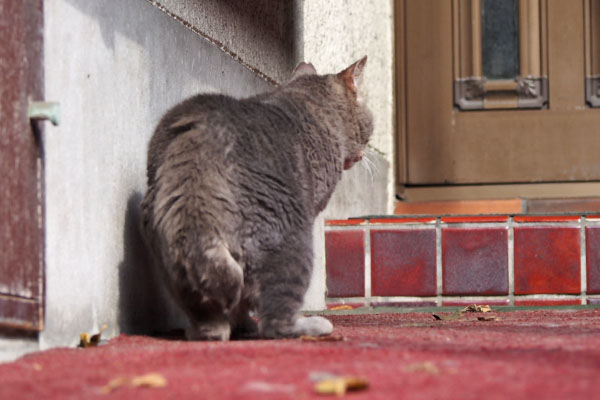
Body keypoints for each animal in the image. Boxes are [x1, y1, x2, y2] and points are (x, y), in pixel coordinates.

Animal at [141, 56, 372, 340]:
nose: (364, 154)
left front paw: (241, 325)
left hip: (171, 258)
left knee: (209, 315)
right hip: (293, 244)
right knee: (276, 321)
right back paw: (313, 326)